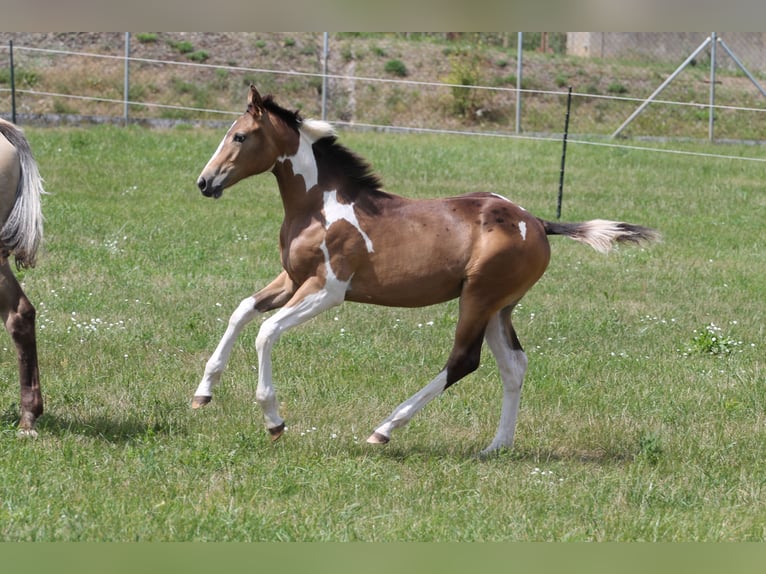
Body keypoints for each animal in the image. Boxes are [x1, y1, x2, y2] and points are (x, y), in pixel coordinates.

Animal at [192, 85, 659, 454]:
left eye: (240, 135)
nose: (204, 182)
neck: (320, 206)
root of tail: (538, 222)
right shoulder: (291, 280)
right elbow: (242, 310)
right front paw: (203, 393)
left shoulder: (328, 289)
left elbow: (266, 331)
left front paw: (274, 420)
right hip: (499, 307)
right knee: (514, 365)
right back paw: (497, 446)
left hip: (478, 298)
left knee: (463, 361)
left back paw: (384, 429)